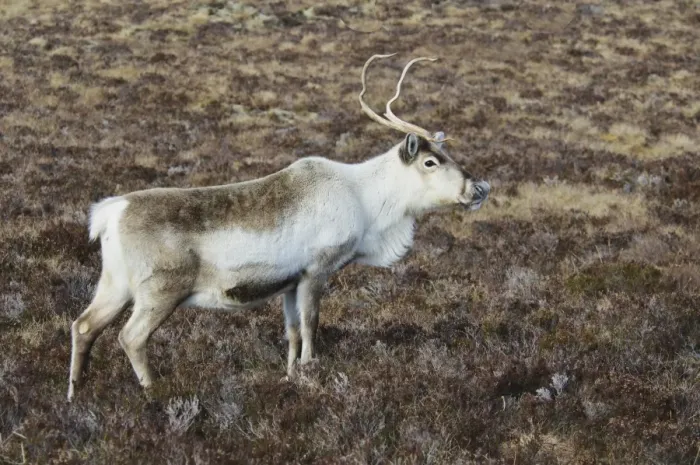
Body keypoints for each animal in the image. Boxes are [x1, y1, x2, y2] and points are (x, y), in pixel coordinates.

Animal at [67, 53, 491, 401]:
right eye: (430, 162)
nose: (479, 188)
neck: (365, 200)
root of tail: (110, 212)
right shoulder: (317, 271)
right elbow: (311, 326)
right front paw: (310, 372)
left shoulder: (289, 282)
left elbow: (291, 332)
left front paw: (289, 376)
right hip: (159, 291)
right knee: (130, 337)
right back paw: (154, 393)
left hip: (114, 284)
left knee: (83, 325)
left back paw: (75, 394)